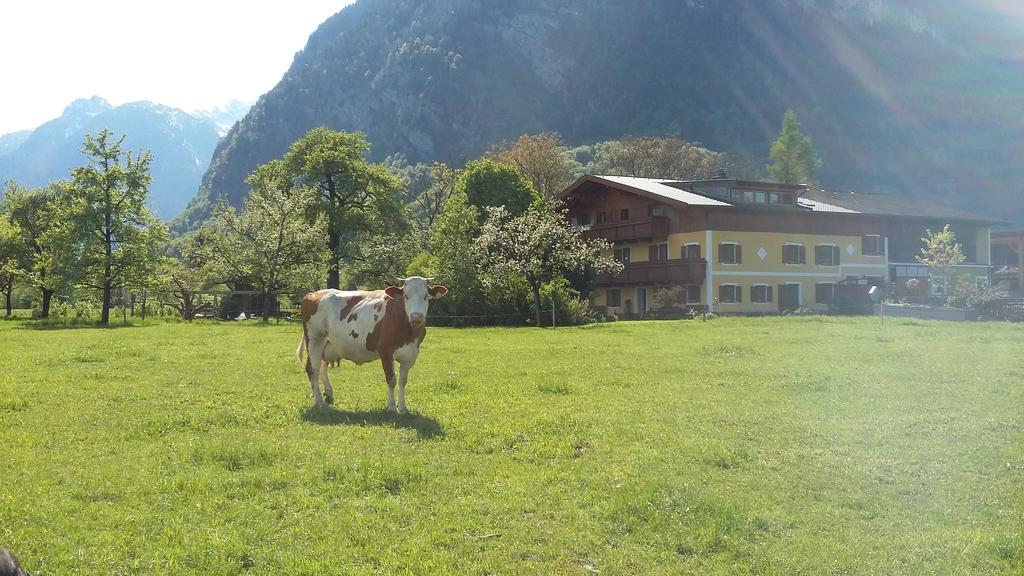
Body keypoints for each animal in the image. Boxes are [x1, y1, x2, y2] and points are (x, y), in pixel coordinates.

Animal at [292, 276, 444, 409]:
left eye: (426, 296)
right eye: (406, 296)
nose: (416, 316)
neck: (409, 331)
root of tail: (313, 293)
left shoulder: (410, 355)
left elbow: (402, 382)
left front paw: (402, 407)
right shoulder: (386, 352)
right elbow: (391, 380)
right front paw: (391, 406)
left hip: (328, 344)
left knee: (322, 367)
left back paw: (328, 394)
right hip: (314, 340)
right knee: (313, 369)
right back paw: (319, 401)